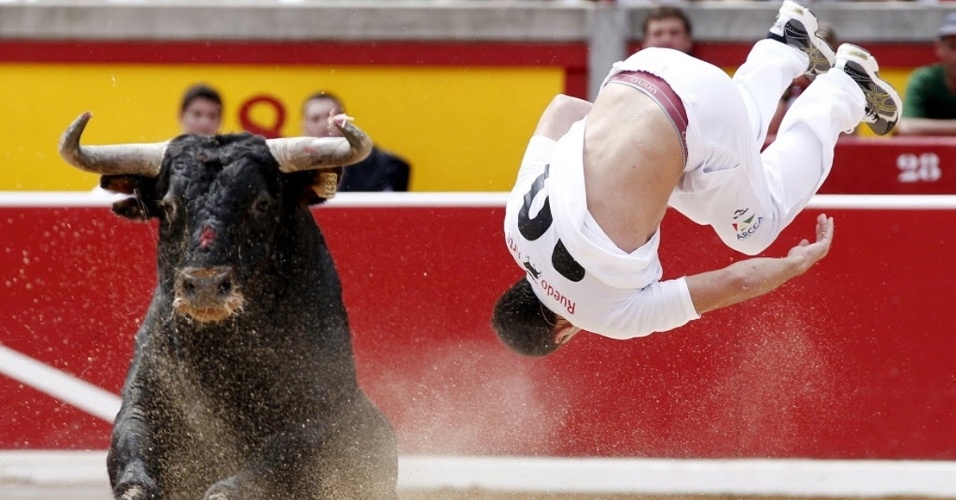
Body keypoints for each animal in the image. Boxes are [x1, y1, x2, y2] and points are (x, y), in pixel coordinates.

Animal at [56, 113, 400, 500]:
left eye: (261, 203)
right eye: (169, 205)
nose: (205, 286)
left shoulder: (318, 423)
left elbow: (270, 463)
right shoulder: (142, 401)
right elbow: (133, 452)